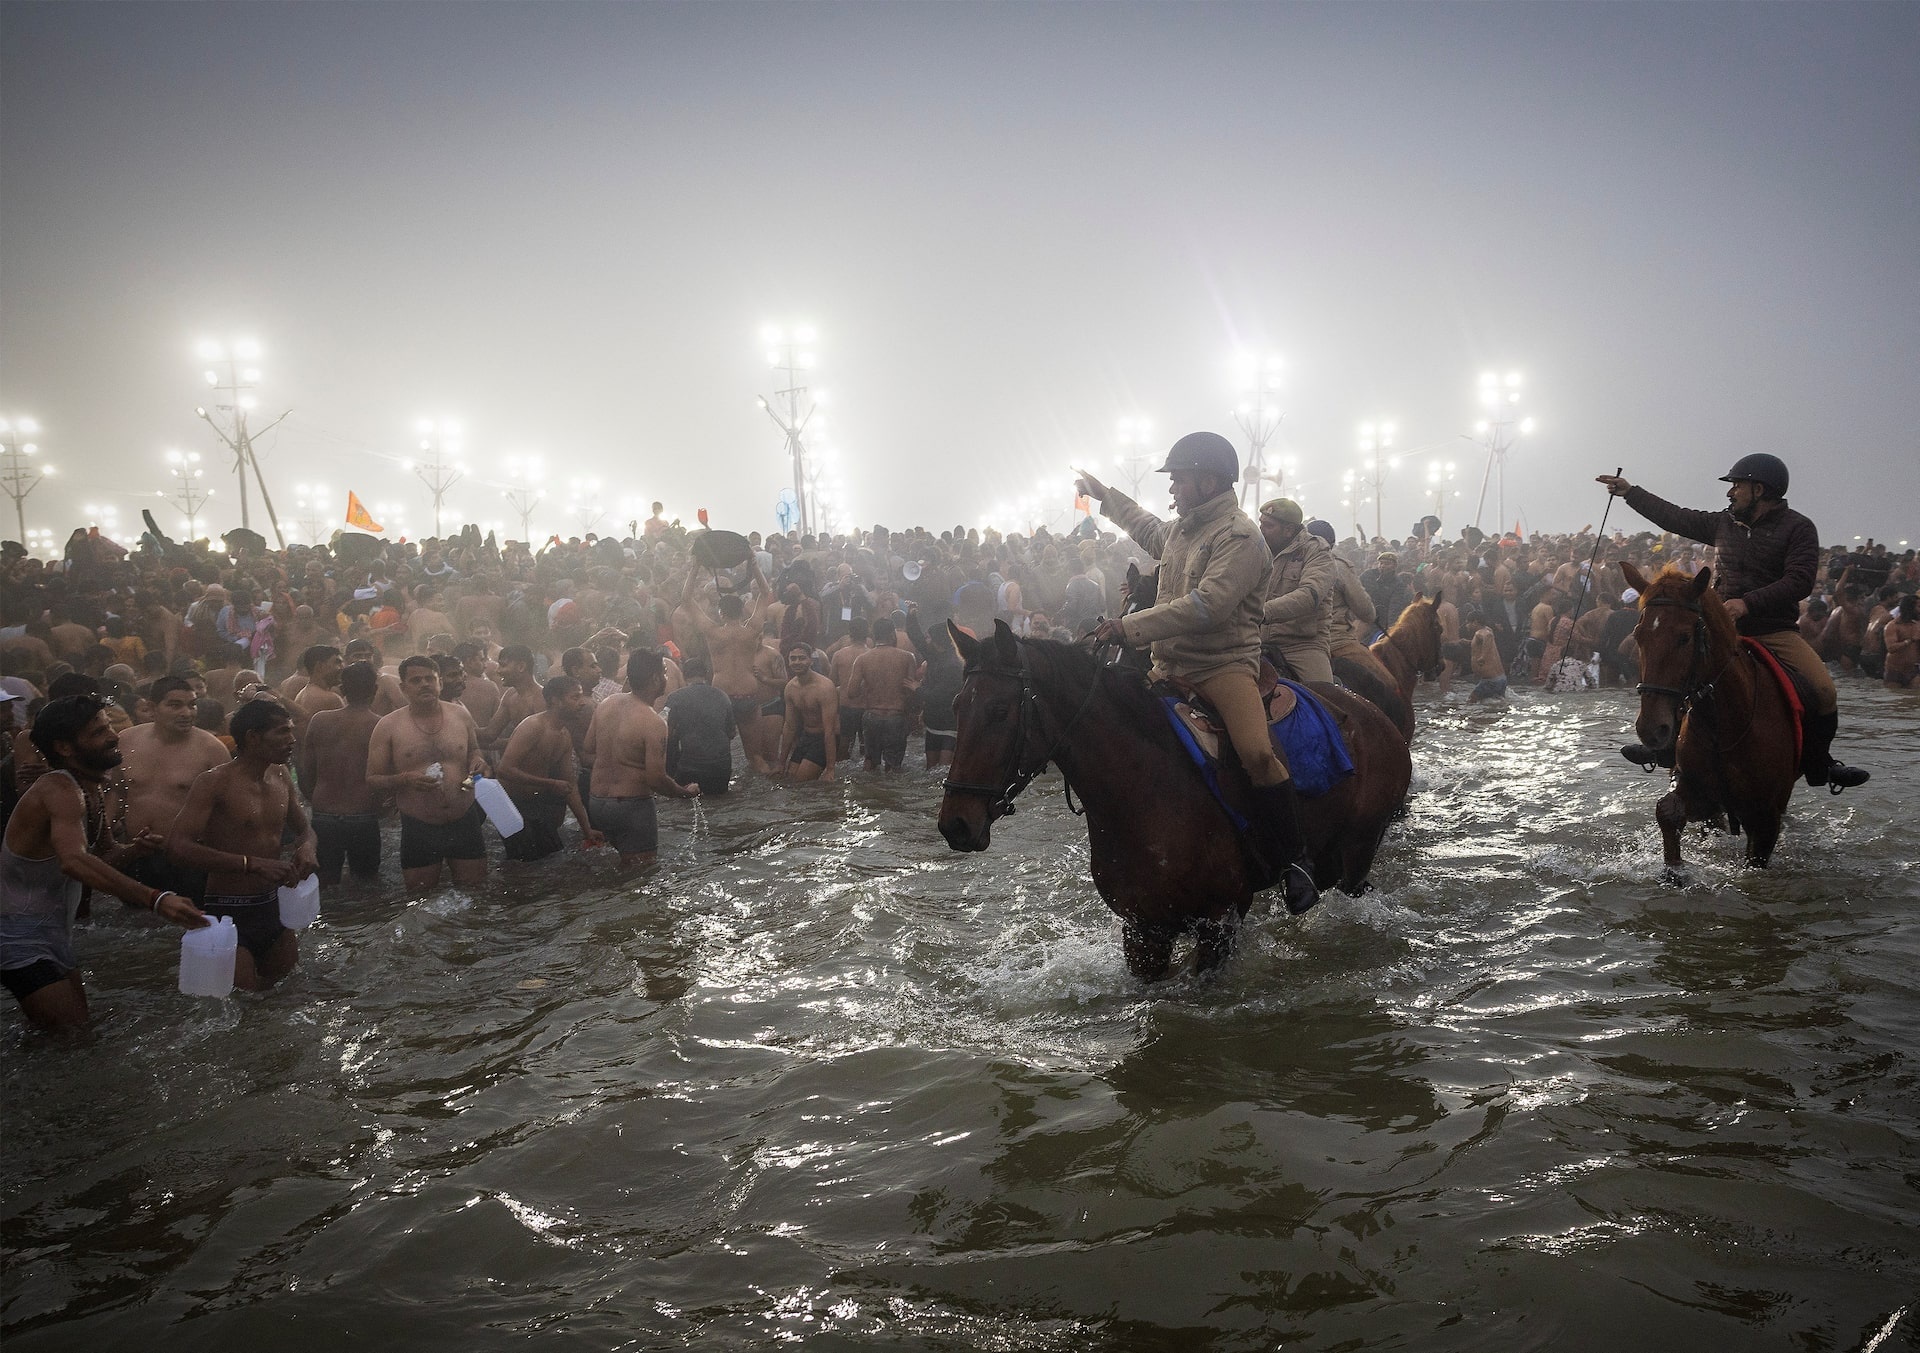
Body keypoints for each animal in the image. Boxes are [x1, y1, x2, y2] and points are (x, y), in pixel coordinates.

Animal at [940, 621, 1413, 982]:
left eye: (1000, 711)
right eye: (957, 706)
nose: (955, 824)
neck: (1143, 790)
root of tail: (1374, 711)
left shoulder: (1218, 922)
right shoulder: (1143, 930)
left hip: (1357, 853)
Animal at [1620, 556, 1797, 867]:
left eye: (1684, 638)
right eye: (1638, 636)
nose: (1651, 729)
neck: (1725, 725)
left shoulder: (1764, 820)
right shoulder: (1702, 798)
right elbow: (1669, 812)